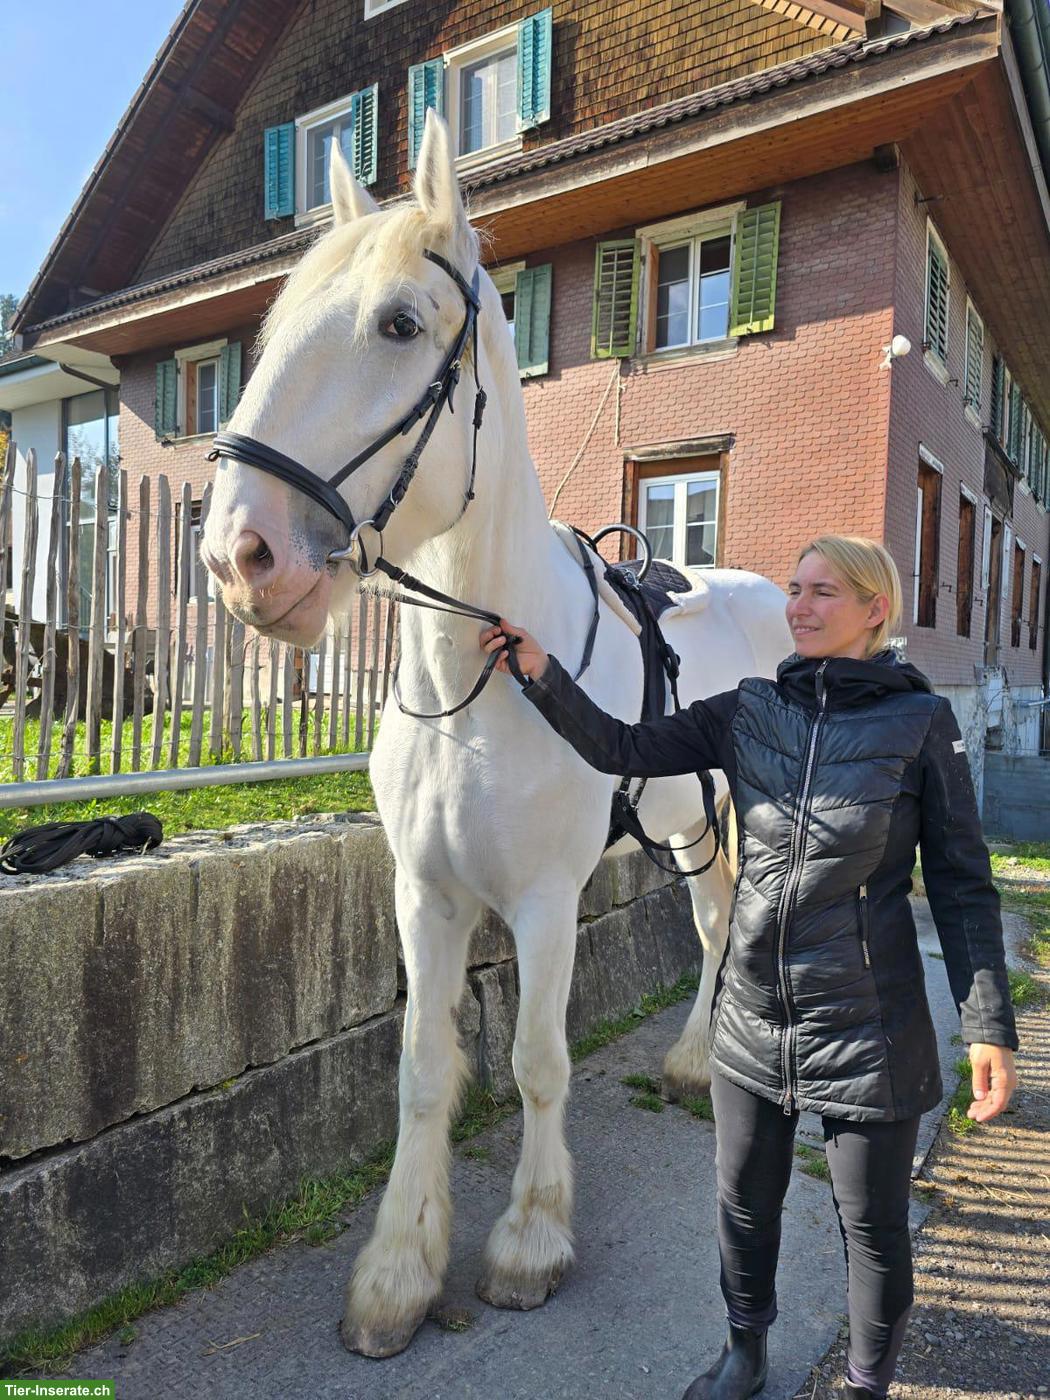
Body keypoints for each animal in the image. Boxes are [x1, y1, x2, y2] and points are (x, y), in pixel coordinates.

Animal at [202, 110, 791, 1359]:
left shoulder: (545, 900)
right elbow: (424, 1067)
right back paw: (687, 1058)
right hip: (691, 828)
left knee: (733, 931)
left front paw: (528, 1237)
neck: (475, 689)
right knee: (714, 924)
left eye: (397, 322)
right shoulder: (423, 894)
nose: (239, 554)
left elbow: (535, 1058)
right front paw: (397, 1267)